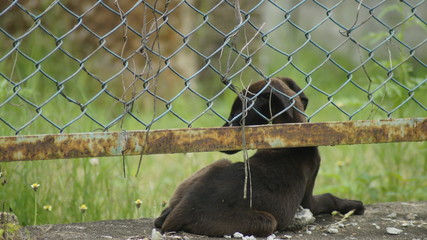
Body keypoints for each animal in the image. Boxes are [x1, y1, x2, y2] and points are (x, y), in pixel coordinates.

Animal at [154, 77, 364, 236]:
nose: (220, 133)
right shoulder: (308, 199)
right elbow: (328, 197)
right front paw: (354, 205)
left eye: (239, 114)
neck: (289, 131)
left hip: (218, 165)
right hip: (268, 222)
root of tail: (180, 212)